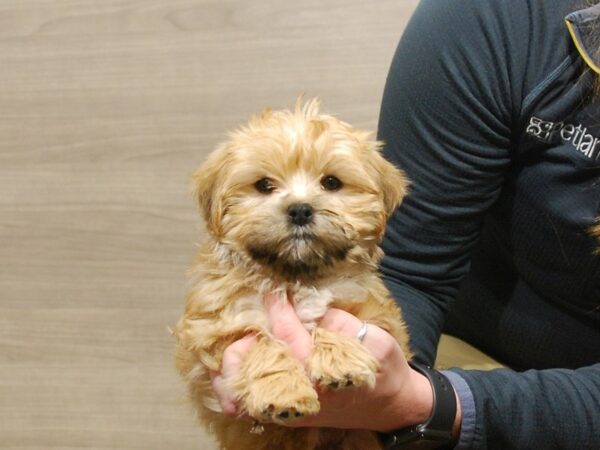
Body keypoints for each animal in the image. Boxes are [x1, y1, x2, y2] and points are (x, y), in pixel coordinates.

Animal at [173, 99, 412, 450]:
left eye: (331, 182)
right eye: (264, 185)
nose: (300, 209)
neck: (295, 277)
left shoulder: (379, 314)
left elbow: (337, 318)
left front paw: (342, 361)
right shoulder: (216, 328)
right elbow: (262, 343)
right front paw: (284, 392)